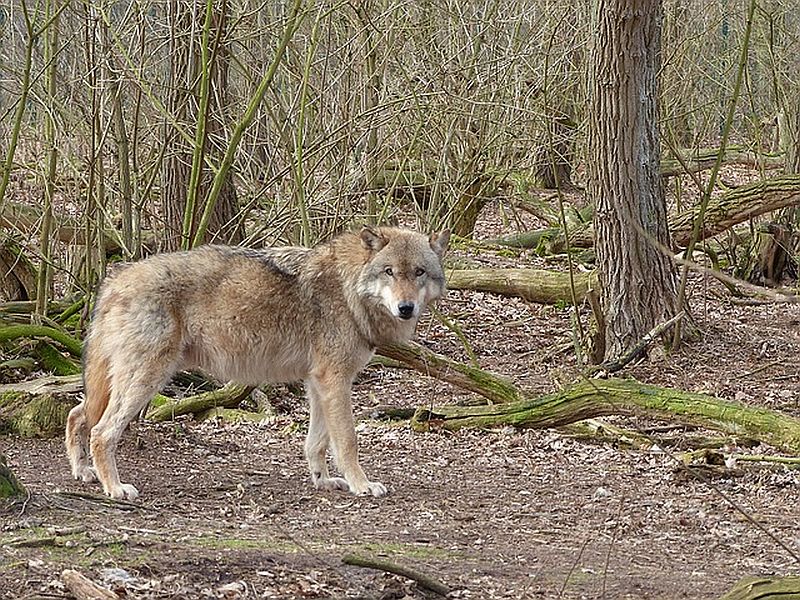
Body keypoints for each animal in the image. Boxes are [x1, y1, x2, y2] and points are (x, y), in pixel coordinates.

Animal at [64, 227, 450, 500]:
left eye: (419, 272)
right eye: (389, 272)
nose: (406, 308)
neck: (348, 288)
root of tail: (116, 278)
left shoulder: (318, 382)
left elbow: (317, 442)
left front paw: (323, 480)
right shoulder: (335, 379)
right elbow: (347, 441)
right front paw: (362, 485)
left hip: (116, 383)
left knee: (77, 414)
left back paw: (83, 473)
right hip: (147, 379)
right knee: (102, 431)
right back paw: (115, 488)